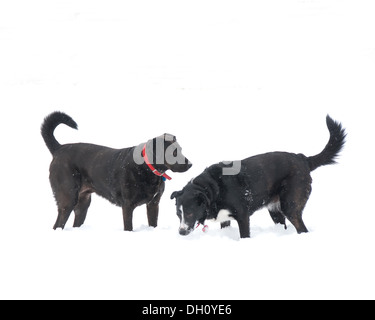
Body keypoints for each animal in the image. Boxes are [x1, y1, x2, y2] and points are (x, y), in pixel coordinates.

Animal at [42, 111, 192, 231]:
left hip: (83, 203)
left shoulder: (153, 203)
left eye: (180, 150)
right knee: (58, 225)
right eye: (173, 152)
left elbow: (153, 223)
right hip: (68, 198)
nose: (190, 164)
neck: (146, 168)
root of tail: (59, 148)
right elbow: (128, 227)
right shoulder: (128, 205)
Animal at [172, 115, 348, 238]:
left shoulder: (242, 216)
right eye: (178, 214)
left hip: (290, 205)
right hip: (275, 210)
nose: (181, 232)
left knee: (302, 229)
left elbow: (244, 235)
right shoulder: (225, 219)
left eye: (189, 213)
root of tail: (303, 159)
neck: (213, 189)